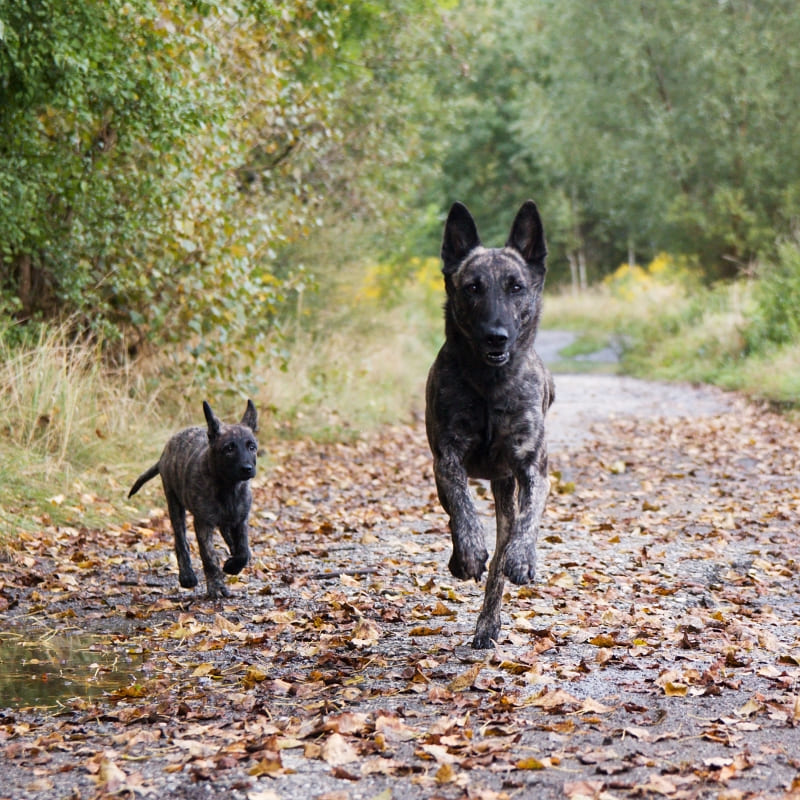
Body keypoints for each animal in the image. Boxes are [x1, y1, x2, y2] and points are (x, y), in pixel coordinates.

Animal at [424, 202, 556, 648]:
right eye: (473, 288)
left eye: (516, 287)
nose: (496, 337)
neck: (489, 383)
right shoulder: (446, 457)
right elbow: (461, 505)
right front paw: (467, 552)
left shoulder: (533, 467)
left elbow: (529, 519)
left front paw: (522, 557)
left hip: (505, 493)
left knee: (502, 552)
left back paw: (488, 621)